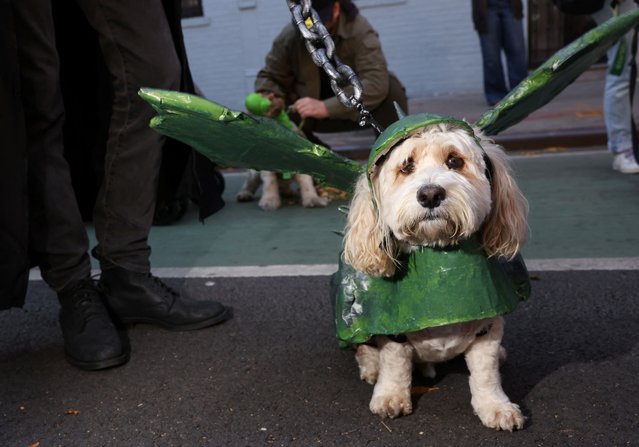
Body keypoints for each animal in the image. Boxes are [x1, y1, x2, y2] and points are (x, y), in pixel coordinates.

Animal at [344, 121, 528, 430]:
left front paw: (495, 406)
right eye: (406, 166)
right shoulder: (393, 330)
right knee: (364, 346)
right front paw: (391, 396)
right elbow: (395, 363)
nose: (430, 194)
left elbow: (486, 372)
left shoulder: (488, 325)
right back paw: (371, 366)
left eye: (455, 161)